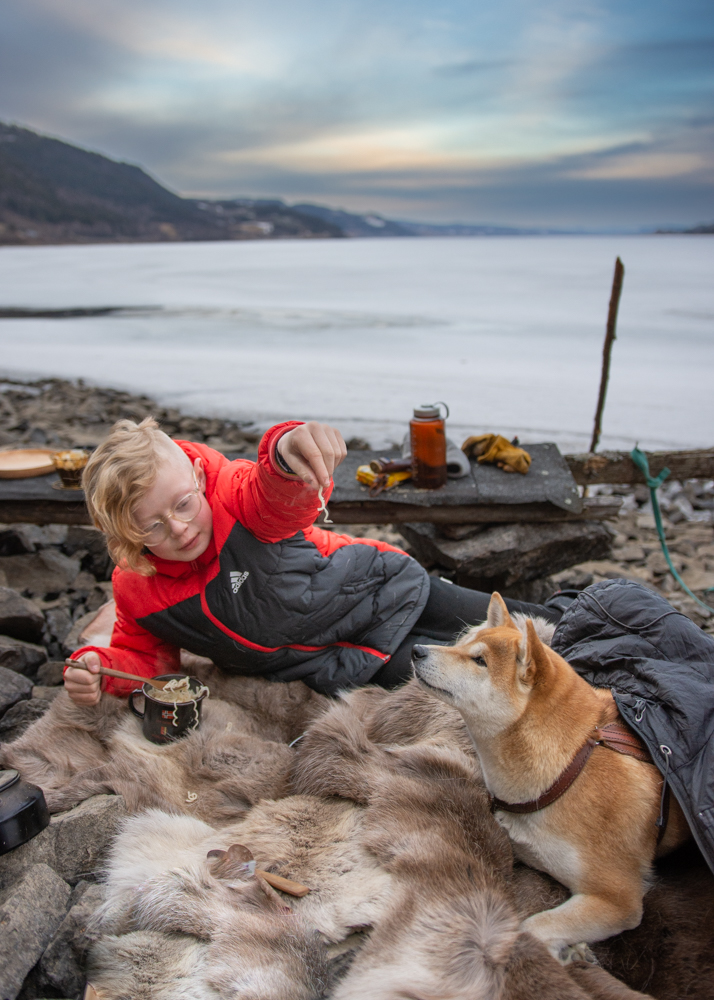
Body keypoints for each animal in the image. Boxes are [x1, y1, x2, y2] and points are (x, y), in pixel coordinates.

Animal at [408, 588, 688, 956]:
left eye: (480, 661)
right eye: (464, 642)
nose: (416, 649)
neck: (568, 769)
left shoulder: (616, 898)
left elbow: (534, 927)